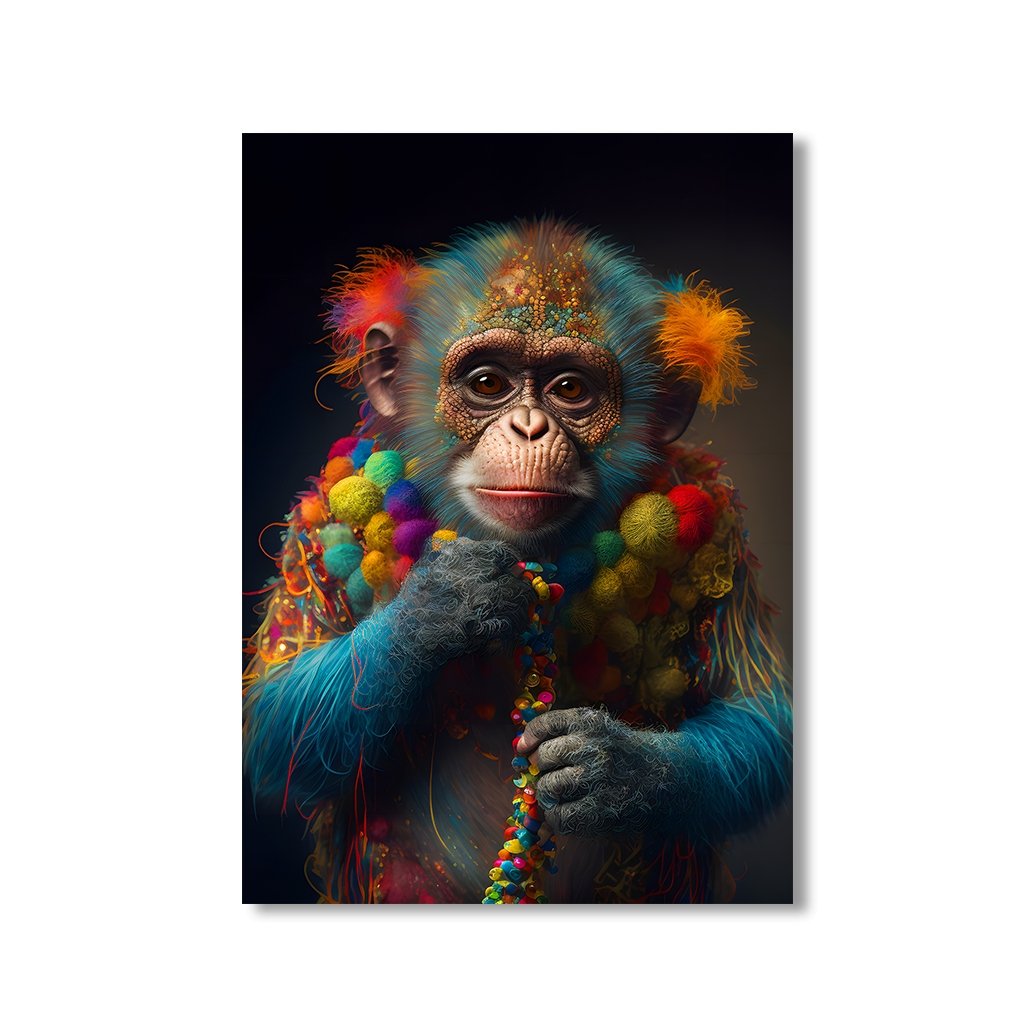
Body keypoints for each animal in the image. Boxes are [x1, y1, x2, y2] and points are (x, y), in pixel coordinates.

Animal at [243, 218, 792, 903]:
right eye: (486, 384)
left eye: (570, 389)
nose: (530, 427)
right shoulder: (315, 522)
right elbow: (271, 726)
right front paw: (442, 606)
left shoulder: (719, 520)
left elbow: (759, 718)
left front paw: (616, 770)